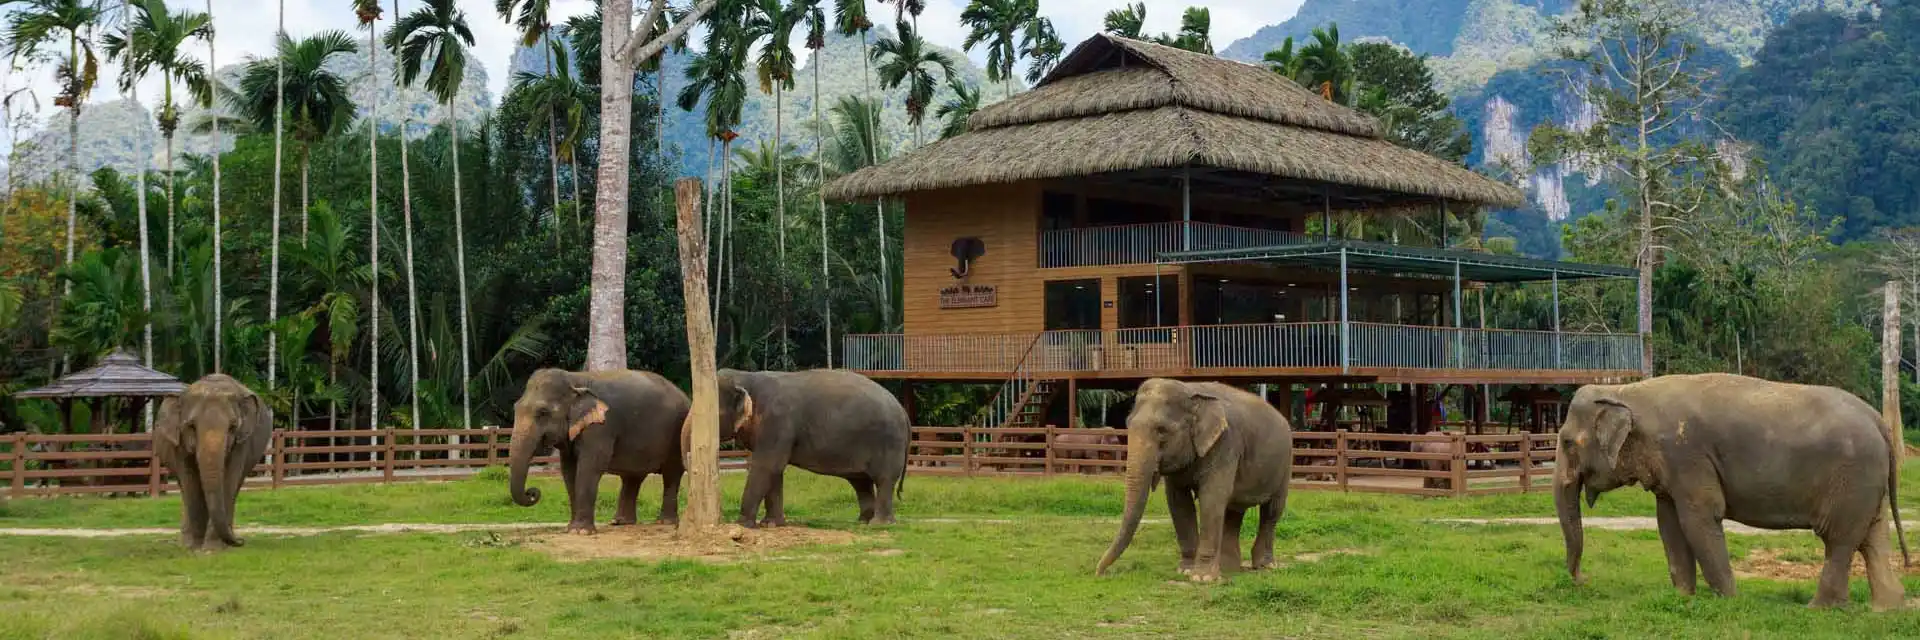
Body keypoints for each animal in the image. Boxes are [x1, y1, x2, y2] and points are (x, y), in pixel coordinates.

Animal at [154, 374, 272, 551]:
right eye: (191, 426)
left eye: (232, 427)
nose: (241, 541)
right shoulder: (179, 442)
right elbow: (190, 482)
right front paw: (195, 547)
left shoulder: (241, 443)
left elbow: (228, 481)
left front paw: (212, 549)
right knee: (184, 489)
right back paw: (186, 542)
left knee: (235, 487)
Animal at [508, 368, 690, 535]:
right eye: (515, 408)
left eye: (543, 413)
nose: (532, 492)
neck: (574, 379)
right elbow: (568, 471)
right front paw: (571, 528)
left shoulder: (601, 426)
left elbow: (590, 467)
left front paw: (580, 531)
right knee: (633, 477)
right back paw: (620, 522)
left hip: (677, 435)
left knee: (671, 474)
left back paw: (665, 522)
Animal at [716, 369, 911, 528]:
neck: (746, 376)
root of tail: (904, 412)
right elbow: (775, 471)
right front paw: (771, 524)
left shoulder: (777, 422)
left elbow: (767, 466)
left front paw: (740, 525)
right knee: (861, 482)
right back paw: (863, 521)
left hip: (889, 444)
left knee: (884, 480)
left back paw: (879, 524)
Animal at [1096, 379, 1294, 582]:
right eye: (1128, 424)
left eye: (1162, 430)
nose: (1100, 573)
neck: (1191, 390)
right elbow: (1179, 502)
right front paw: (1186, 570)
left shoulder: (1225, 444)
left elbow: (1211, 498)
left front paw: (1202, 578)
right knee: (1234, 512)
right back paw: (1228, 568)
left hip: (1285, 464)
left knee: (1271, 511)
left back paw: (1264, 566)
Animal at [1556, 373, 1910, 610]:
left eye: (1567, 443)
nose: (1583, 580)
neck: (1625, 391)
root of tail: (1879, 421)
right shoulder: (1672, 468)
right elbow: (1668, 524)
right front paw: (1684, 598)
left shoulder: (1687, 455)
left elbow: (1698, 519)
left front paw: (1728, 600)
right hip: (1867, 482)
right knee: (1873, 537)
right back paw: (1887, 609)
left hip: (1852, 476)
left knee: (1839, 540)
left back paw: (1820, 609)